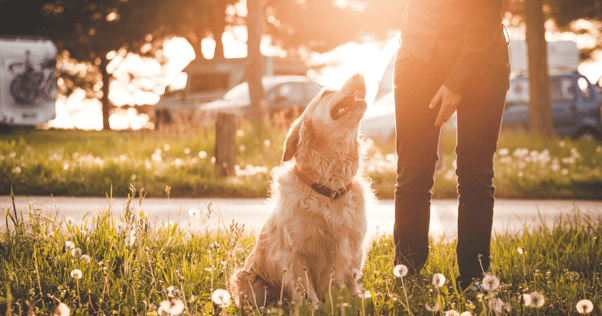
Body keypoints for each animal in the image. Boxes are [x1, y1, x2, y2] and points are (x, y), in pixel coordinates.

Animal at [230, 73, 376, 306]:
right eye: (326, 93)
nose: (359, 74)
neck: (330, 188)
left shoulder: (354, 250)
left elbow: (352, 287)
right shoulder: (295, 255)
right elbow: (309, 296)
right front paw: (313, 307)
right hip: (246, 278)